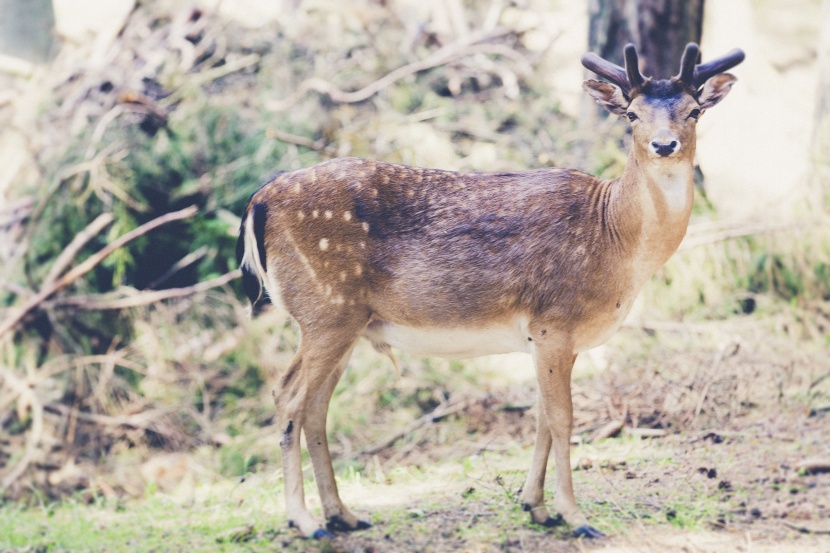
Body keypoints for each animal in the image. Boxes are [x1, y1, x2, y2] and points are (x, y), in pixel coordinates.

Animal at [236, 43, 748, 540]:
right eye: (632, 114)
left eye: (694, 110)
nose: (665, 144)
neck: (615, 240)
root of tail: (258, 202)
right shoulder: (555, 322)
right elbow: (563, 418)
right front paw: (574, 515)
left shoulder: (546, 339)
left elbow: (541, 416)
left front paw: (535, 507)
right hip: (325, 309)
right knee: (288, 396)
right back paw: (304, 521)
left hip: (346, 321)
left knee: (316, 406)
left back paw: (342, 515)